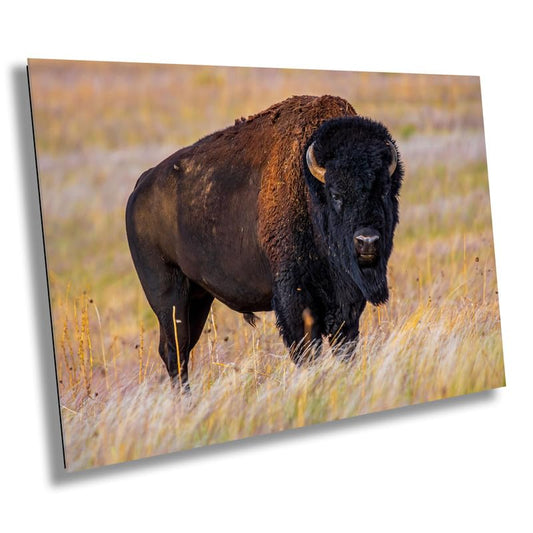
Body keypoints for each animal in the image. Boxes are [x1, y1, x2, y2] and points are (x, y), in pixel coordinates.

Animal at [125, 95, 404, 384]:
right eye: (336, 194)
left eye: (385, 191)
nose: (367, 241)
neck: (309, 189)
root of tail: (141, 186)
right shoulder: (295, 298)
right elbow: (307, 351)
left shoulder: (347, 304)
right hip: (167, 296)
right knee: (174, 351)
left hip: (198, 297)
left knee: (182, 349)